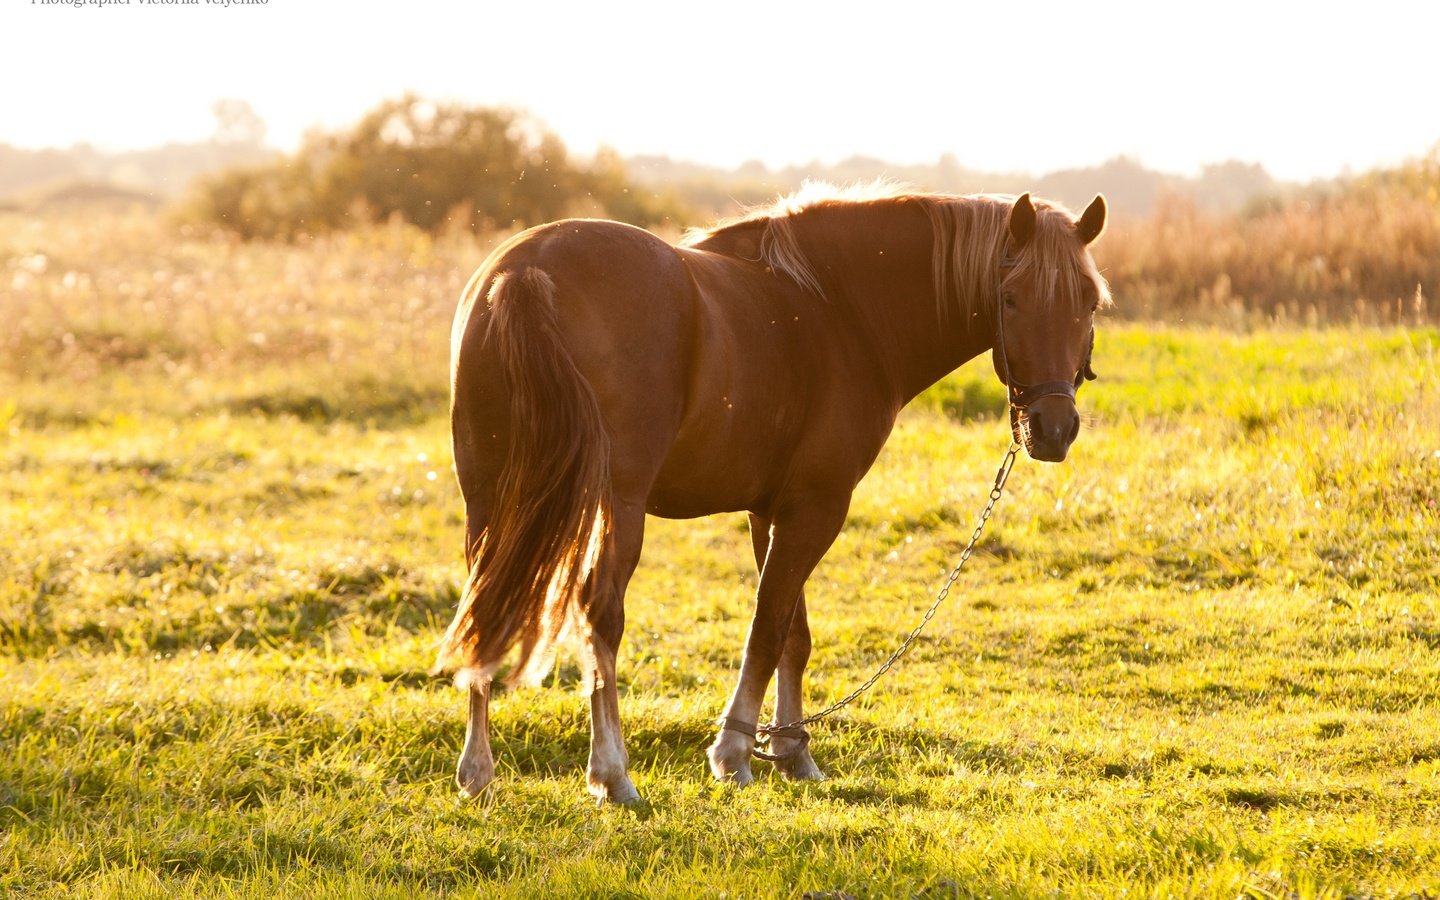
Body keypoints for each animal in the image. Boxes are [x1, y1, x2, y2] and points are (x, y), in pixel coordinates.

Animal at [432, 182, 1105, 800]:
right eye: (1011, 298)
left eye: (1089, 302)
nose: (1053, 429)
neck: (840, 309)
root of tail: (525, 272)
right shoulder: (818, 507)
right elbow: (768, 626)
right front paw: (735, 753)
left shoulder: (771, 510)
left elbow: (792, 635)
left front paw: (791, 751)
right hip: (615, 504)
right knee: (601, 616)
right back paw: (612, 774)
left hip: (488, 500)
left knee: (484, 606)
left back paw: (478, 772)